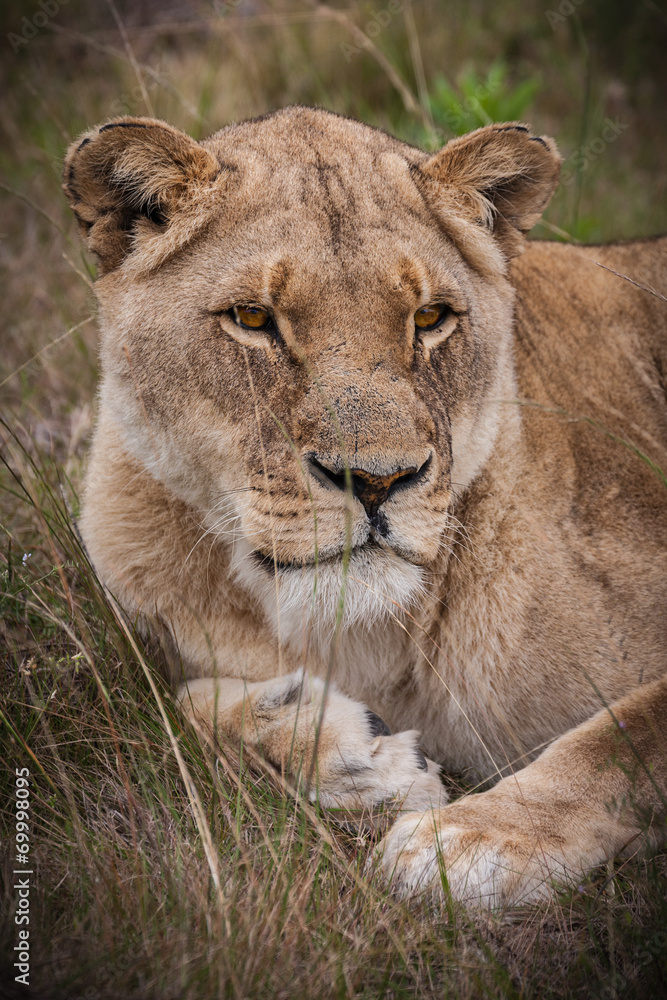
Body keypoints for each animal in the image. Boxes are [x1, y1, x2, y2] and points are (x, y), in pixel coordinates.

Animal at [62, 106, 667, 908]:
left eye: (431, 316)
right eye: (251, 317)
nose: (378, 480)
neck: (368, 643)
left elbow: (625, 735)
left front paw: (478, 838)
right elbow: (176, 708)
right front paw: (354, 757)